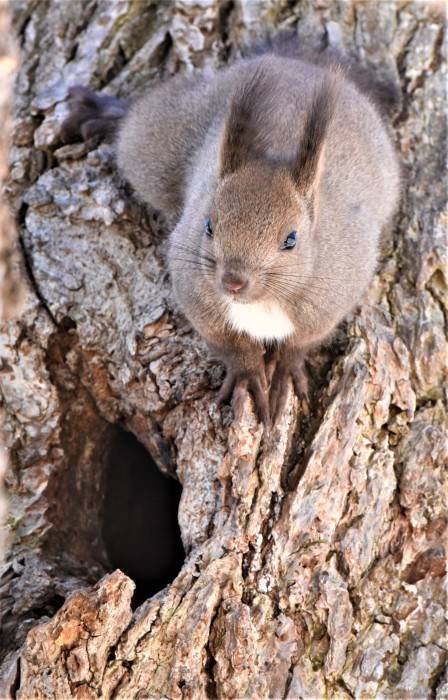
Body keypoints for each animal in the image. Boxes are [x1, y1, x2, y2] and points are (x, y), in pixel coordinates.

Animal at [59, 49, 400, 430]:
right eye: (208, 225)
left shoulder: (331, 298)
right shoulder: (198, 296)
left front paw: (284, 372)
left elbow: (300, 344)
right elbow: (230, 344)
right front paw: (248, 376)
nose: (233, 282)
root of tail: (296, 64)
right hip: (161, 144)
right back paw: (105, 111)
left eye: (291, 239)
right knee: (141, 120)